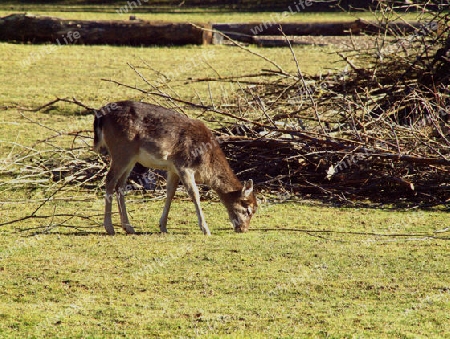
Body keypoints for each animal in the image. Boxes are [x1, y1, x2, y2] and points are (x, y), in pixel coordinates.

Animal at [92, 99, 256, 235]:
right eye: (248, 209)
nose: (243, 229)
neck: (206, 162)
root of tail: (101, 114)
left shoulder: (173, 169)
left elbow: (170, 192)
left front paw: (163, 226)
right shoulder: (183, 165)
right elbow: (195, 194)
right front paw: (206, 229)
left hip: (131, 158)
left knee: (120, 184)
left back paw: (128, 227)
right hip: (121, 150)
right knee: (110, 180)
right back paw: (109, 228)